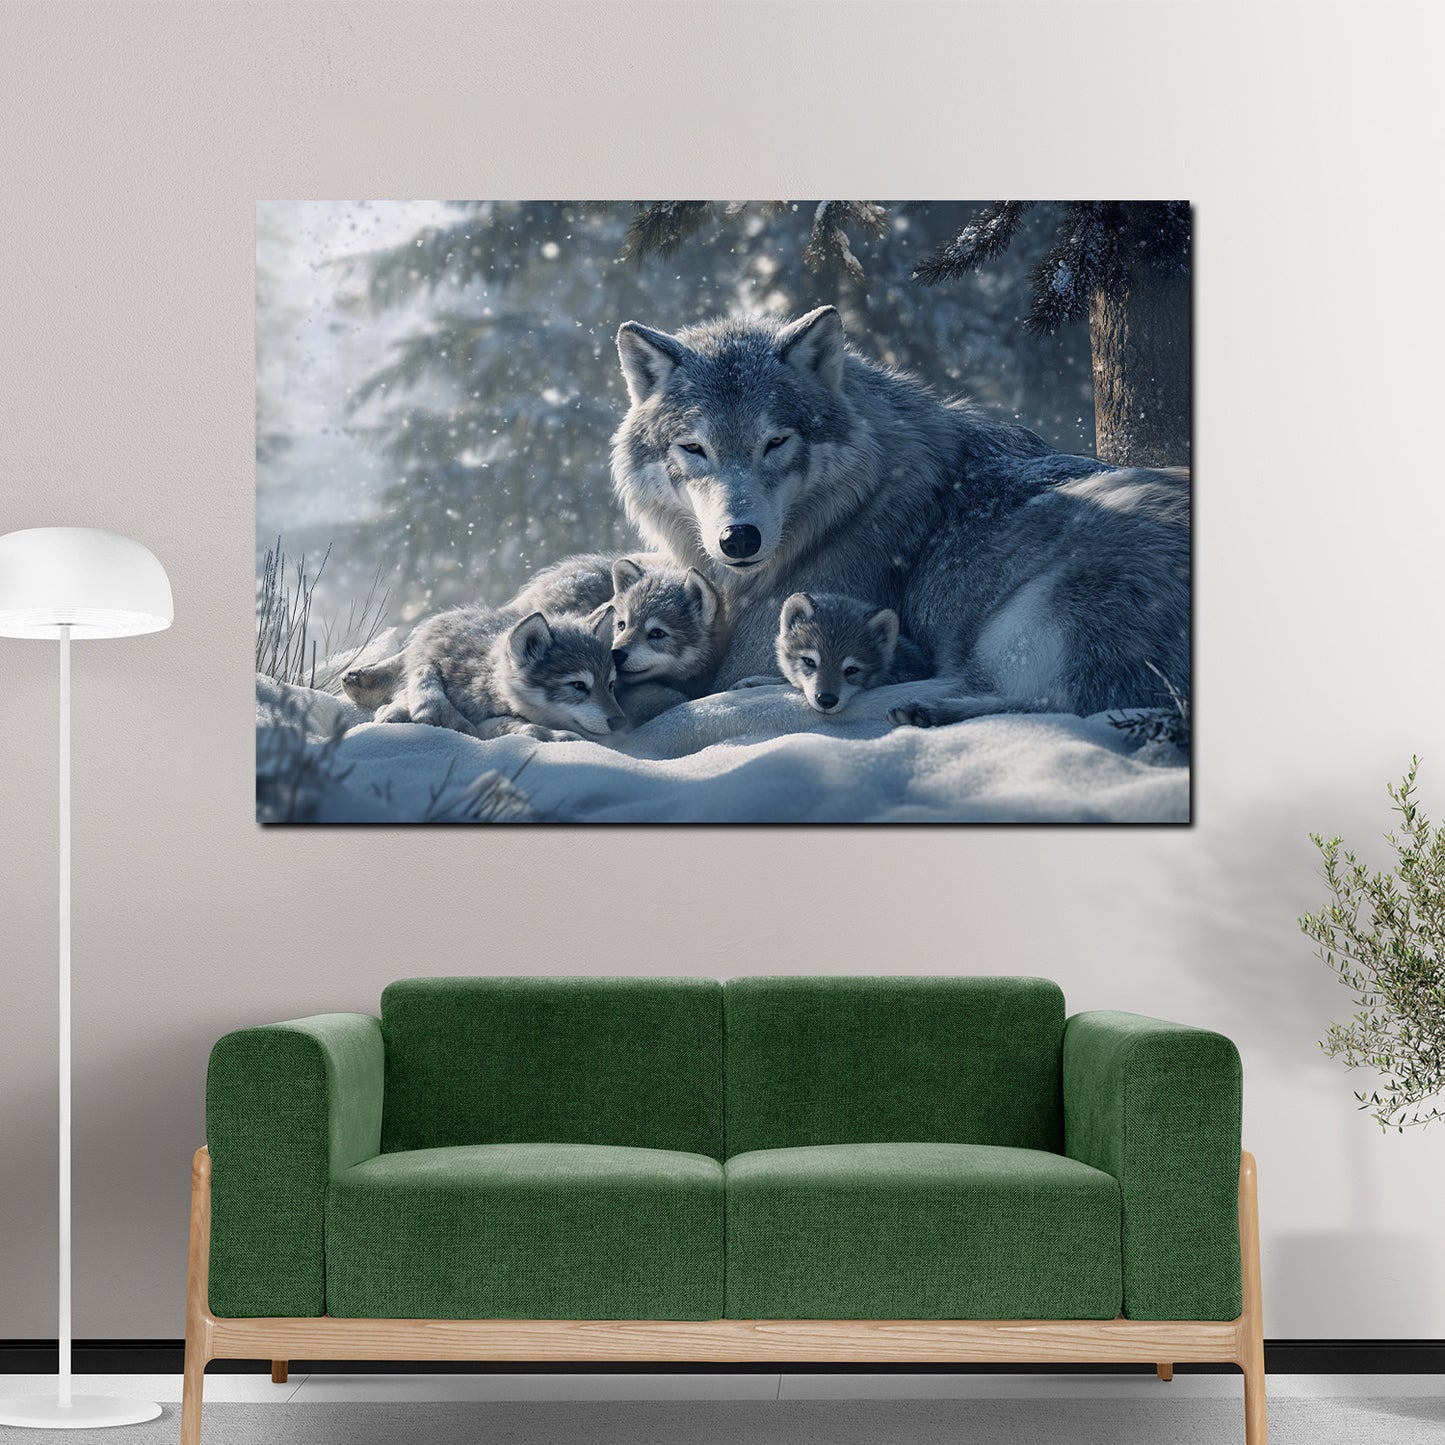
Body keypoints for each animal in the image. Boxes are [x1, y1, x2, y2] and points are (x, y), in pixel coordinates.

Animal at [365, 605, 625, 741]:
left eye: (611, 685)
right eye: (578, 685)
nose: (620, 722)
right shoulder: (480, 721)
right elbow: (526, 727)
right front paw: (559, 736)